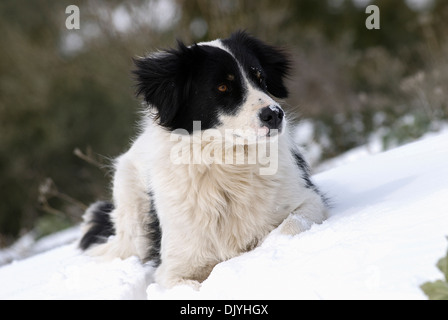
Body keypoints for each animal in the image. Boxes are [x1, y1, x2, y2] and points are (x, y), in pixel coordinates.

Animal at [79, 31, 328, 288]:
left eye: (260, 78)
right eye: (222, 87)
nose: (275, 115)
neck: (228, 163)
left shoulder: (309, 199)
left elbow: (289, 226)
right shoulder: (172, 272)